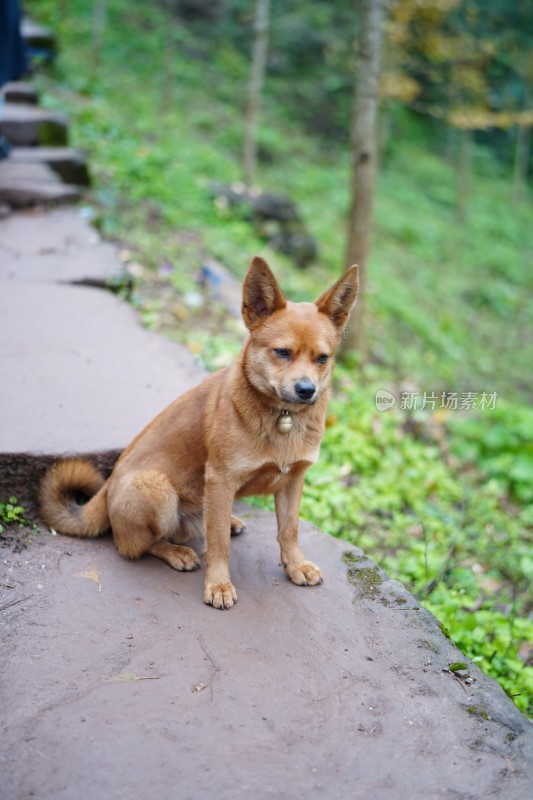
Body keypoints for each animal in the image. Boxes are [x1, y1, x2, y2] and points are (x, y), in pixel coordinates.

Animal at [39, 260, 358, 608]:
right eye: (282, 352)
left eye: (322, 358)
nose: (306, 390)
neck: (282, 418)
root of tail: (106, 490)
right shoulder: (219, 479)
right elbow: (218, 544)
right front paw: (218, 584)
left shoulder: (293, 480)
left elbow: (289, 529)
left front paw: (295, 565)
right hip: (156, 489)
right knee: (135, 544)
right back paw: (176, 552)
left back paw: (226, 522)